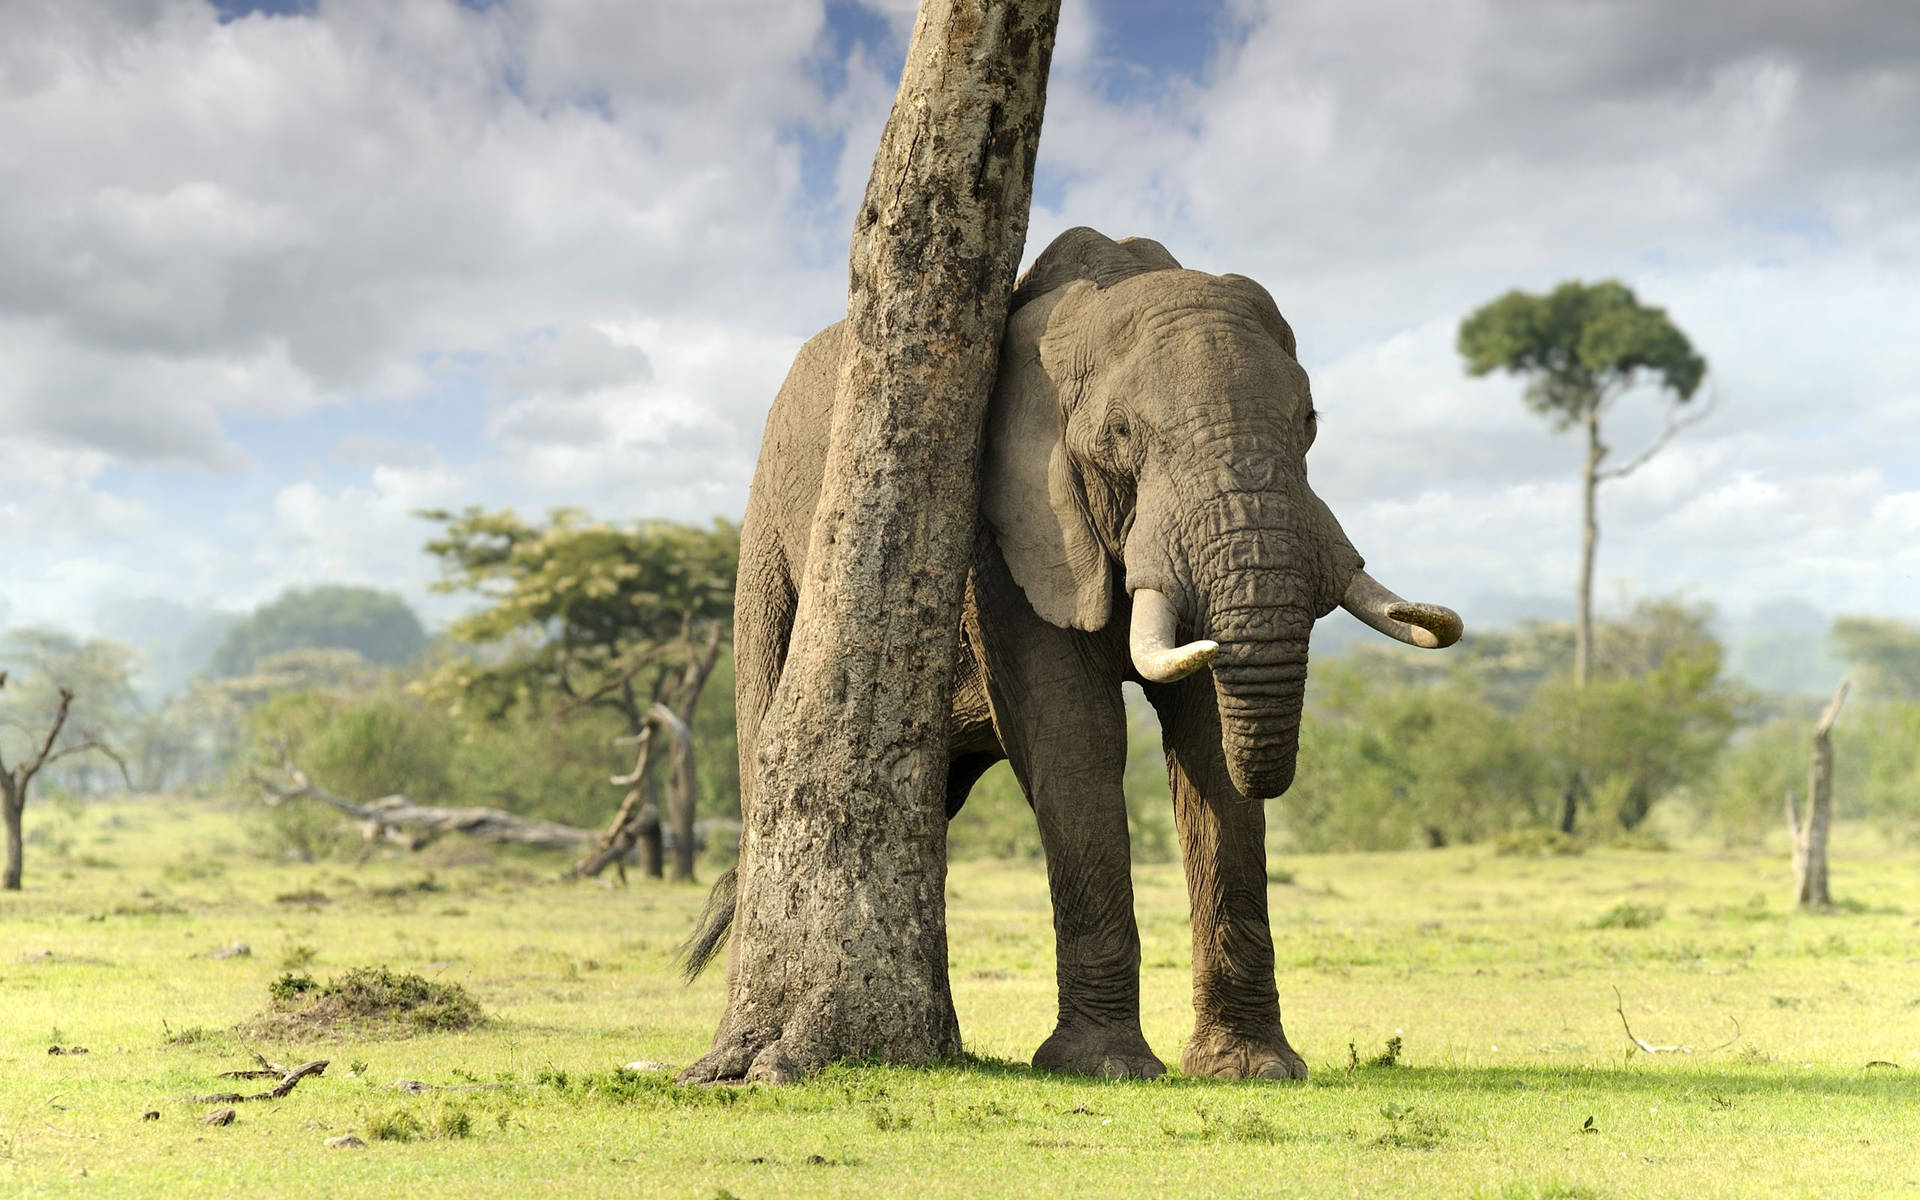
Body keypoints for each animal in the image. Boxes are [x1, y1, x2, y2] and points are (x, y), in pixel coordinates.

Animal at [691, 224, 1451, 1075]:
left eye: (1310, 422)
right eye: (1121, 435)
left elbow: (1205, 739)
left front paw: (1253, 1068)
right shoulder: (1001, 527)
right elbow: (1074, 733)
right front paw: (1105, 1067)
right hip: (766, 540)